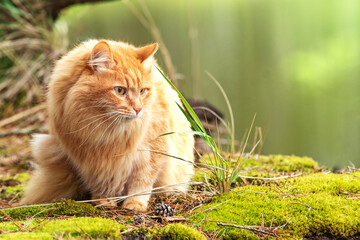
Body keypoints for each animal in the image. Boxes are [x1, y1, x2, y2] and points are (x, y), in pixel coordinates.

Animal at [20, 39, 194, 210]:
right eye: (120, 91)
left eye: (142, 91)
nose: (139, 109)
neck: (109, 133)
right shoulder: (91, 161)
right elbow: (102, 183)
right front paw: (104, 200)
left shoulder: (151, 151)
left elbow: (141, 183)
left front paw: (134, 204)